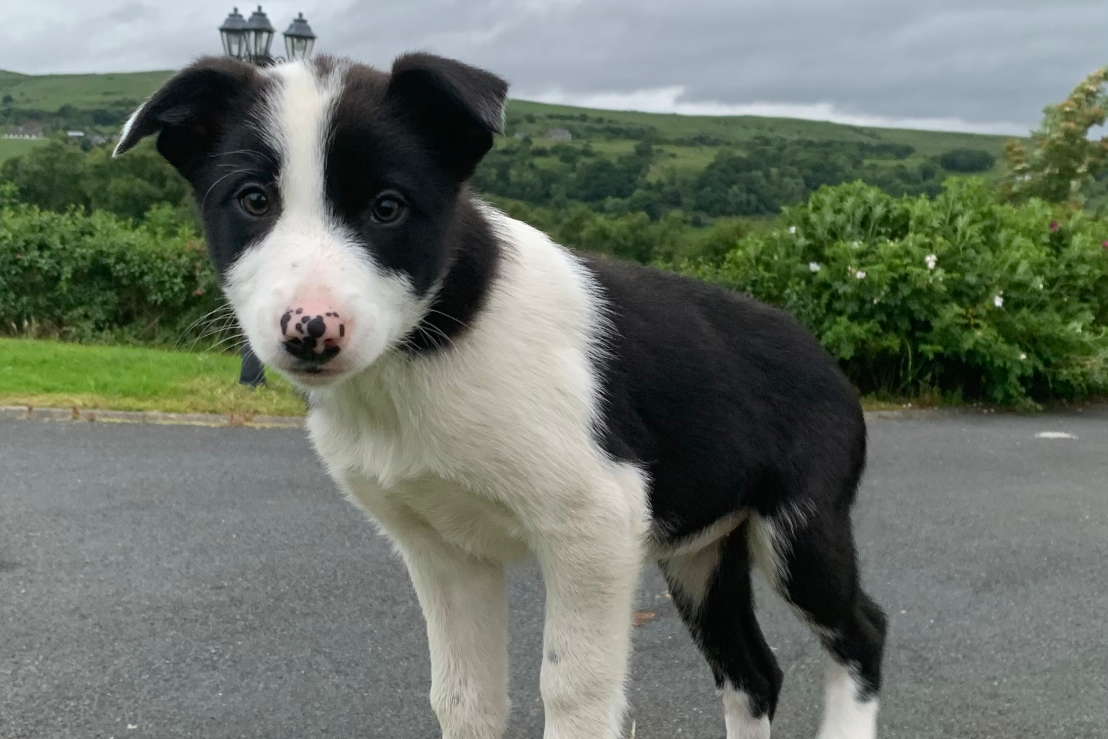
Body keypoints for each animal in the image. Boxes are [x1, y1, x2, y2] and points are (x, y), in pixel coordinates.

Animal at [116, 53, 886, 739]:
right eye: (253, 200)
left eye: (388, 207)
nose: (311, 330)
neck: (431, 341)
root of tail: (818, 352)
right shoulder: (444, 551)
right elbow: (463, 698)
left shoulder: (592, 525)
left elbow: (573, 691)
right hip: (701, 550)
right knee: (752, 672)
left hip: (799, 529)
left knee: (860, 631)